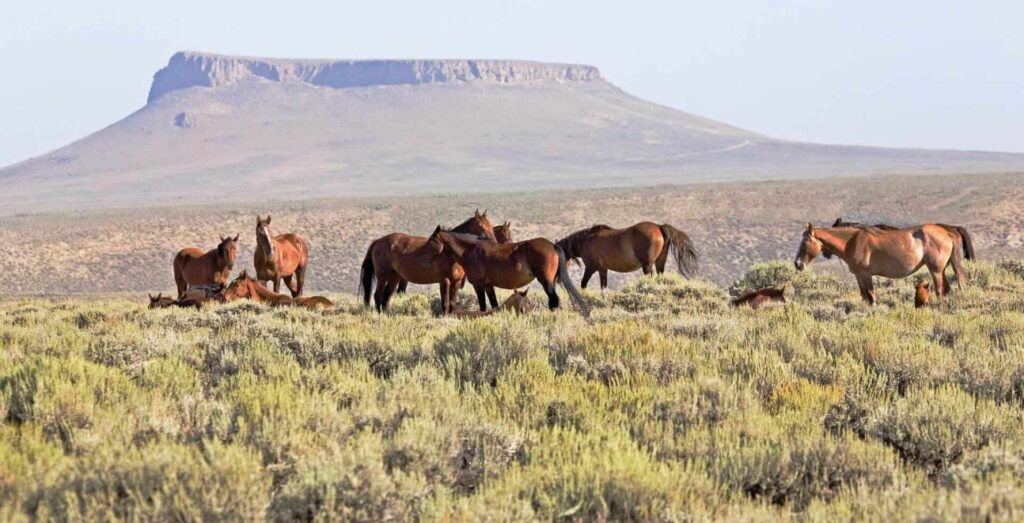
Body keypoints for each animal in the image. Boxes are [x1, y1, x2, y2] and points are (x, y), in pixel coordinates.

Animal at [360, 210, 496, 314]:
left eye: (491, 226)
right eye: (481, 226)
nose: (494, 243)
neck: (449, 253)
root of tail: (378, 241)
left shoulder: (456, 282)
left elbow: (452, 302)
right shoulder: (444, 280)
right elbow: (445, 302)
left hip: (394, 275)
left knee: (386, 296)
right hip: (383, 275)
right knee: (378, 295)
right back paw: (379, 315)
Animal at [435, 231, 589, 315]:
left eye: (433, 241)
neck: (471, 250)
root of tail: (552, 245)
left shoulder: (478, 286)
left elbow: (483, 306)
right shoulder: (488, 285)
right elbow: (494, 305)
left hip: (546, 282)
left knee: (554, 300)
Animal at [555, 222, 698, 289]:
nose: (558, 279)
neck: (586, 241)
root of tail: (659, 227)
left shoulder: (590, 267)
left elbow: (583, 284)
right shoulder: (602, 269)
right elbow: (603, 286)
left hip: (647, 265)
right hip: (659, 262)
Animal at [794, 222, 965, 304]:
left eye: (805, 242)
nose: (797, 264)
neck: (851, 242)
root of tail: (946, 231)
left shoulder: (866, 275)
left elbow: (871, 296)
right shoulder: (859, 276)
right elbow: (865, 297)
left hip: (935, 270)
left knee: (940, 290)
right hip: (941, 270)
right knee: (946, 289)